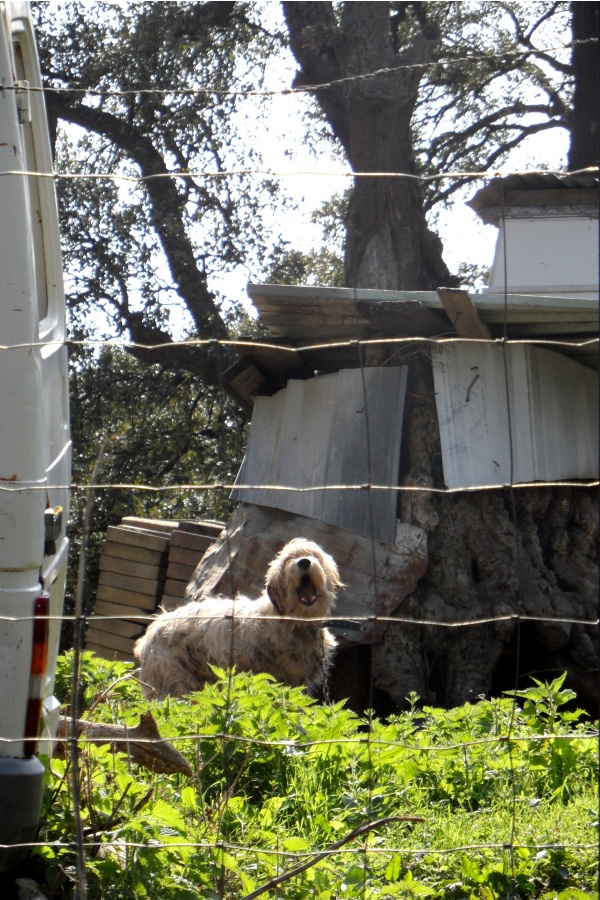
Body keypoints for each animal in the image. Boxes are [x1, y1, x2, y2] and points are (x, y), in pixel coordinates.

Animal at [135, 536, 342, 700]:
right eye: (288, 560)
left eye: (315, 556)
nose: (304, 562)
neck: (294, 620)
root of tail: (151, 633)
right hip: (175, 682)